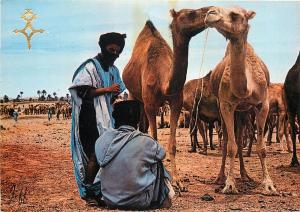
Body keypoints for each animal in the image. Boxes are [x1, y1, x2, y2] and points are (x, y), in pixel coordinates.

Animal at [122, 6, 211, 190]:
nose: (210, 10)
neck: (163, 80)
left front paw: (177, 181)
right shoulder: (150, 105)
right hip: (135, 95)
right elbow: (154, 140)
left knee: (143, 127)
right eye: (191, 13)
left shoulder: (176, 102)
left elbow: (173, 144)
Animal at [205, 6, 278, 195]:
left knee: (239, 139)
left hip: (244, 112)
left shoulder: (262, 104)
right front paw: (229, 184)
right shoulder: (226, 105)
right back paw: (220, 177)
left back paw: (245, 175)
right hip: (225, 108)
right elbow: (230, 146)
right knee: (227, 142)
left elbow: (262, 148)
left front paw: (269, 184)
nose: (210, 13)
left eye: (235, 15)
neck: (247, 88)